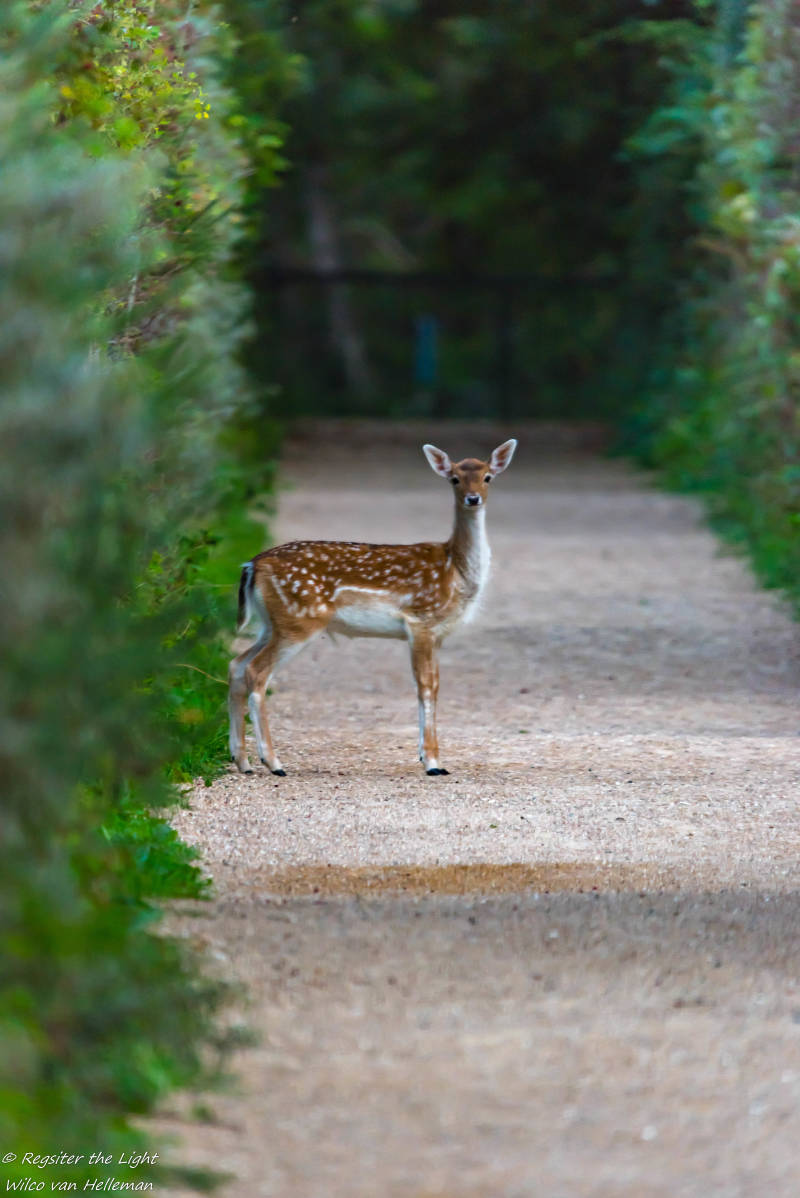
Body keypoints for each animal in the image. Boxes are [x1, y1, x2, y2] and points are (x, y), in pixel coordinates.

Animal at [228, 438, 517, 777]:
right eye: (455, 479)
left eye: (488, 477)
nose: (473, 498)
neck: (456, 570)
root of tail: (252, 565)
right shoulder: (420, 620)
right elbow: (425, 686)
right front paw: (433, 763)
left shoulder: (437, 633)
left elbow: (434, 685)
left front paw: (427, 757)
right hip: (298, 619)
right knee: (256, 671)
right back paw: (273, 763)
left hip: (271, 622)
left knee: (236, 664)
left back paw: (243, 761)